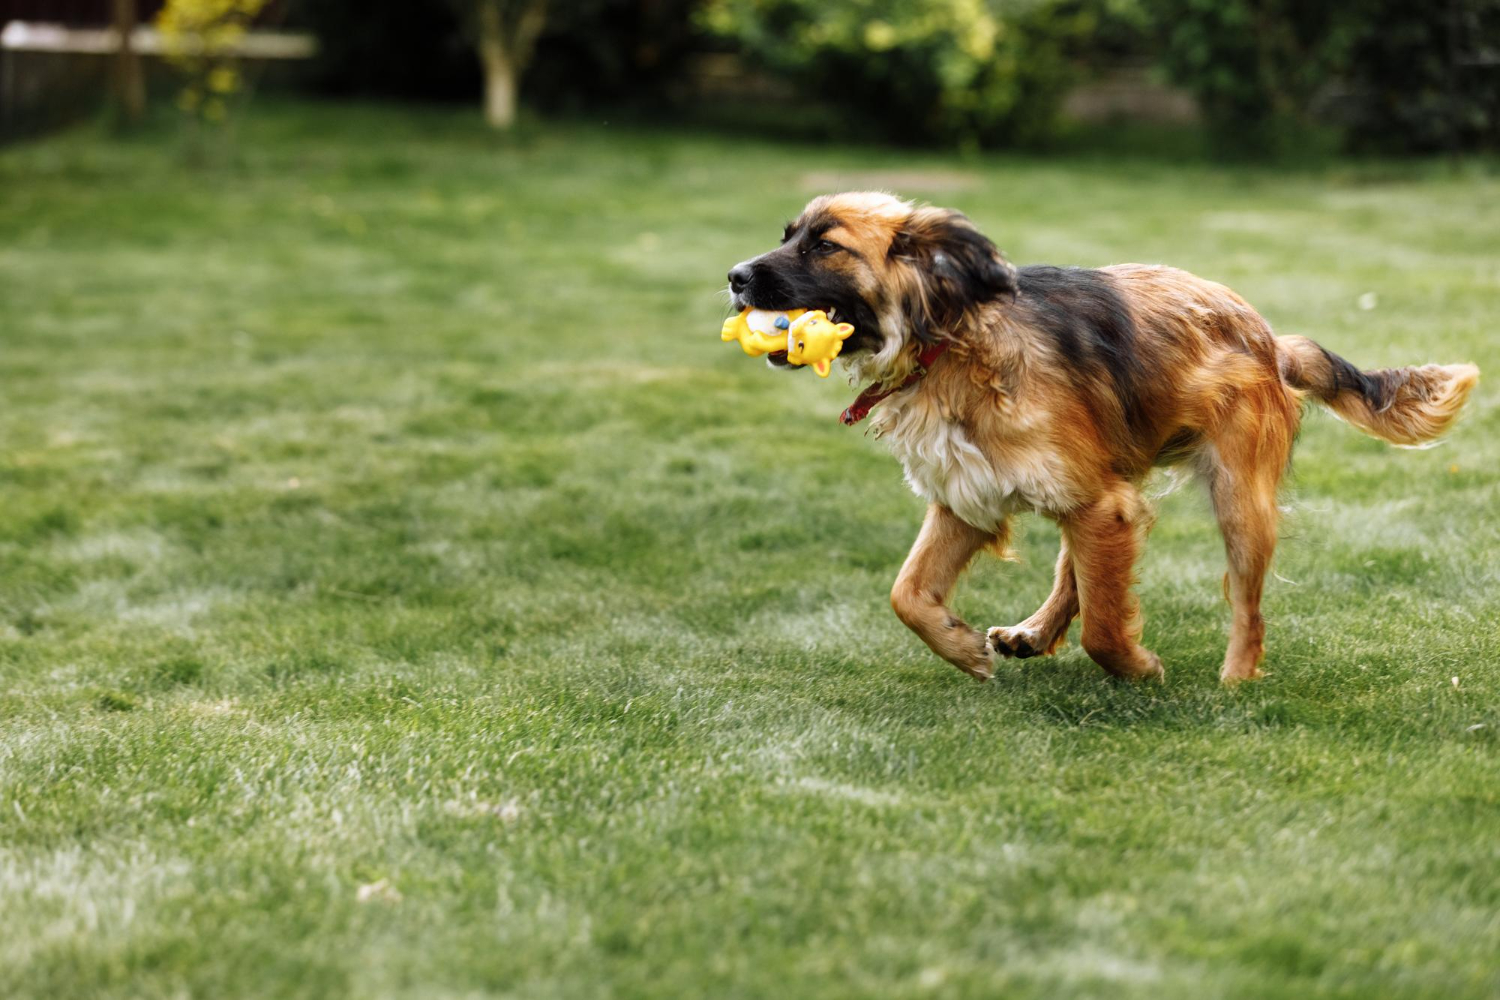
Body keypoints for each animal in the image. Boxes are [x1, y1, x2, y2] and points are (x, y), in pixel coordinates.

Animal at [723, 191, 1476, 683]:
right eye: (789, 234)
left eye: (826, 246)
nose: (733, 277)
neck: (951, 344)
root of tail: (1269, 339)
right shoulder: (973, 498)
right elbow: (906, 594)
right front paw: (962, 648)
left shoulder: (1098, 505)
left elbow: (1107, 629)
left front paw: (1138, 669)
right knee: (1074, 572)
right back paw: (1033, 632)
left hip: (1236, 503)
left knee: (1247, 605)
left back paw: (1236, 680)